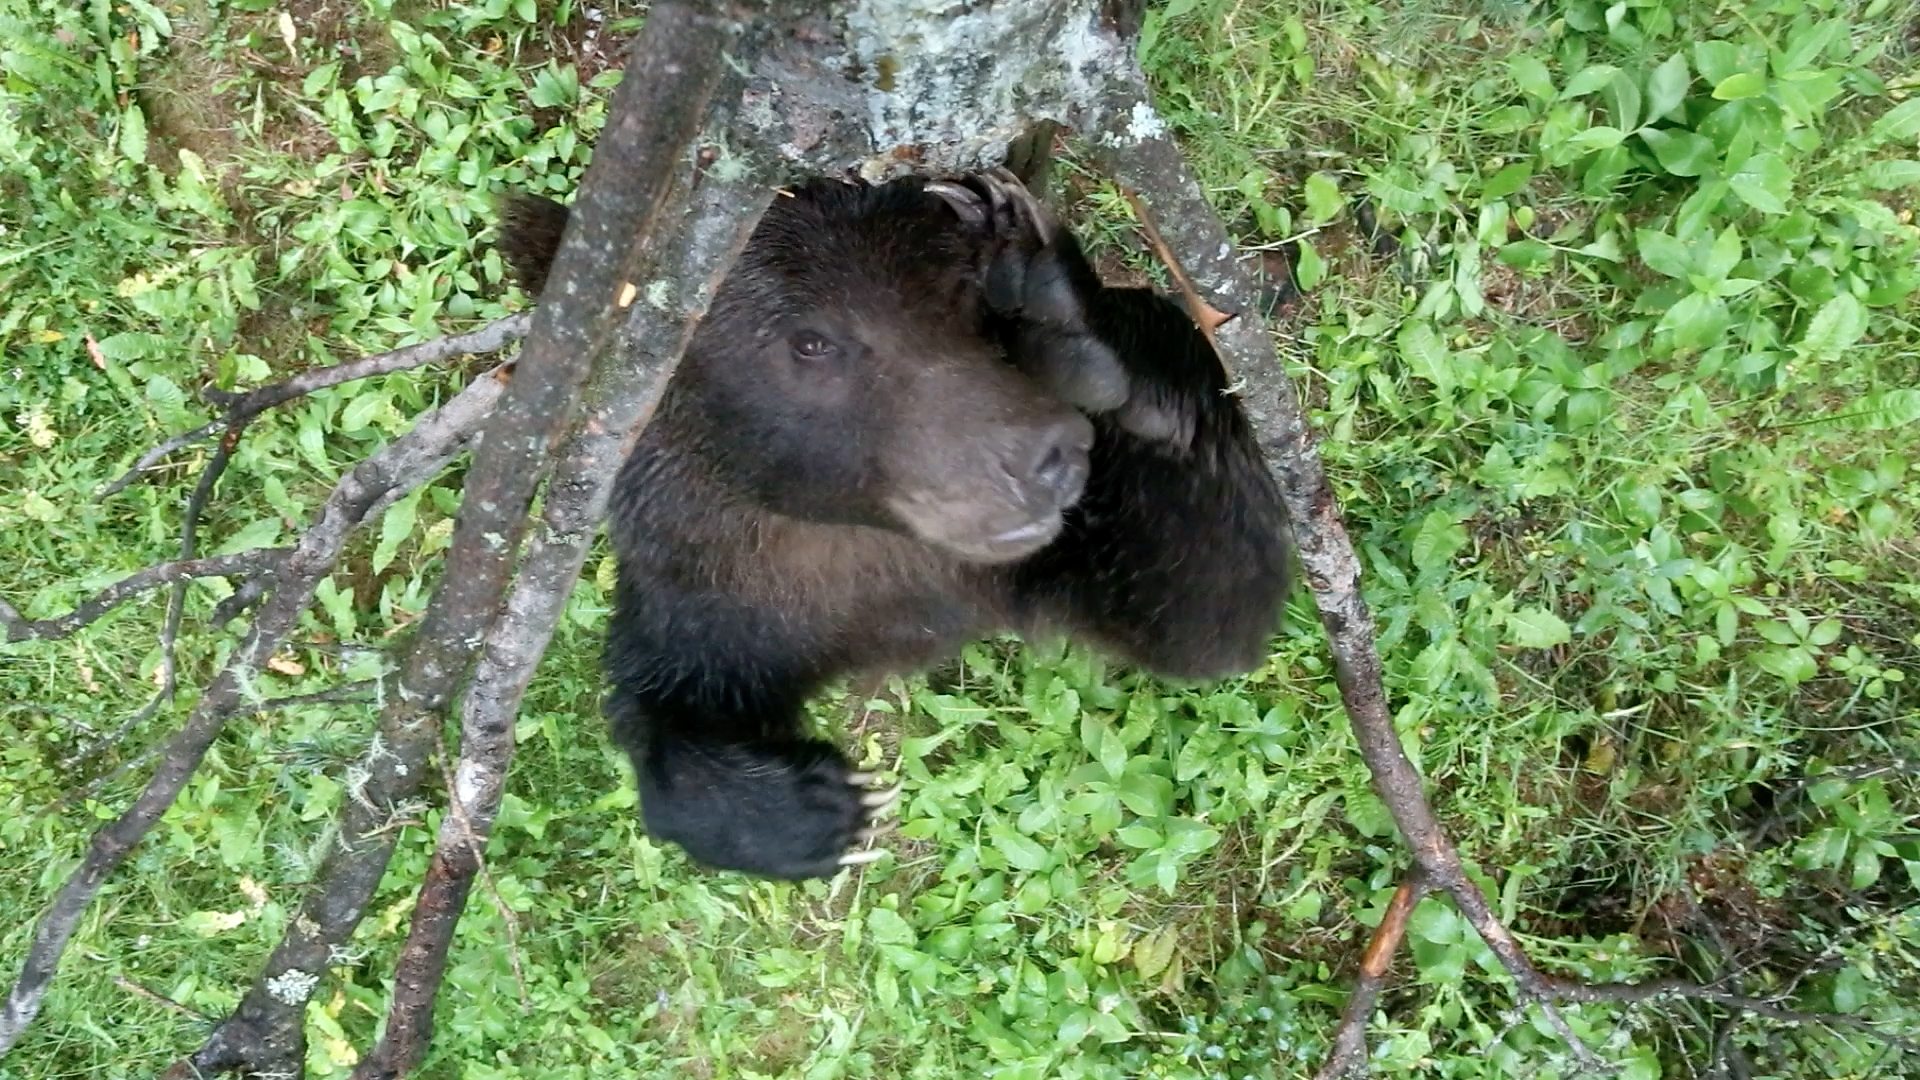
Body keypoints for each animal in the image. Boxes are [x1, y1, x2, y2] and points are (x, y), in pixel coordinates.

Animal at [496, 168, 1292, 881]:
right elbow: (661, 704)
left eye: (960, 297)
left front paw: (1056, 301)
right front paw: (823, 809)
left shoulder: (1060, 555)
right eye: (811, 340)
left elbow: (1211, 610)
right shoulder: (713, 587)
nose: (1046, 456)